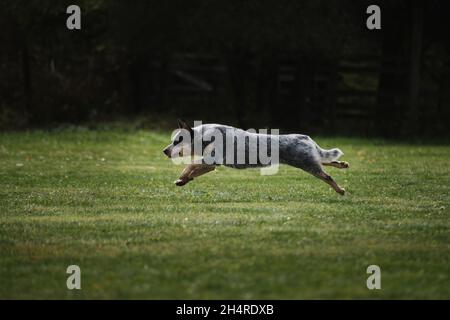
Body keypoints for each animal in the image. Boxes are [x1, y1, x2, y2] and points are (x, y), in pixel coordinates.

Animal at [163, 120, 350, 195]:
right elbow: (192, 170)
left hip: (308, 164)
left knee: (327, 176)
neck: (204, 136)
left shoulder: (211, 161)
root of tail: (306, 138)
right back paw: (342, 164)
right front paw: (183, 180)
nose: (164, 150)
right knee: (327, 160)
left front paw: (182, 178)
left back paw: (340, 190)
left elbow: (188, 166)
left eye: (177, 140)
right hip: (310, 161)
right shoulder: (210, 164)